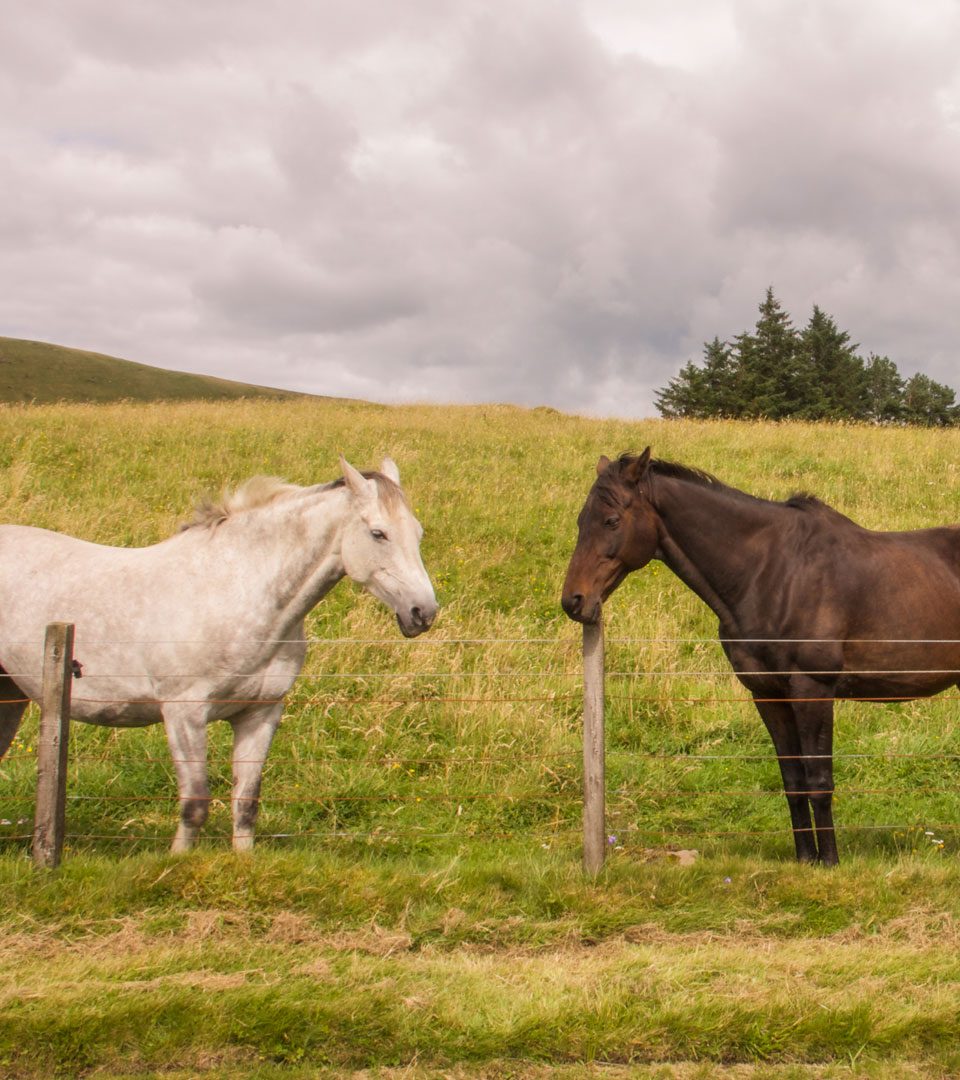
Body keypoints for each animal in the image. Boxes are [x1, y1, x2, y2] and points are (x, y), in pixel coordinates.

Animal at [0, 455, 436, 851]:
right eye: (378, 533)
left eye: (417, 533)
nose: (423, 612)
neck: (237, 591)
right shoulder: (184, 714)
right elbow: (195, 804)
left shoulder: (260, 713)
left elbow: (246, 804)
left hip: (12, 695)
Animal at [561, 444, 958, 859]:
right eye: (581, 520)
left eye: (611, 520)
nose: (574, 601)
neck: (772, 572)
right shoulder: (767, 693)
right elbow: (793, 781)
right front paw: (806, 860)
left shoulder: (813, 688)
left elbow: (819, 779)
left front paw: (830, 861)